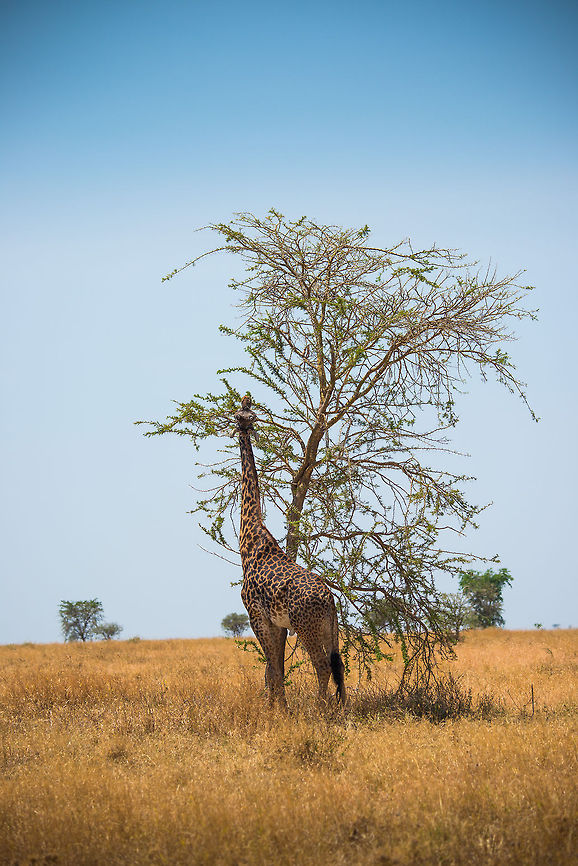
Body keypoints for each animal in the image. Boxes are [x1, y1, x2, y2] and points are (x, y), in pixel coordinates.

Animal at [234, 394, 346, 707]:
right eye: (242, 414)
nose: (250, 421)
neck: (248, 541)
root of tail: (329, 599)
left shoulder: (256, 615)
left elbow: (272, 668)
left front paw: (275, 711)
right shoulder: (279, 624)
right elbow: (277, 669)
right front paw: (279, 707)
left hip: (306, 626)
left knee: (322, 665)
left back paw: (321, 709)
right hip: (328, 627)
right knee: (338, 665)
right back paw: (340, 707)